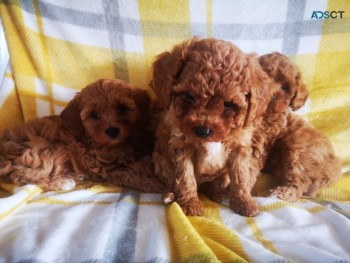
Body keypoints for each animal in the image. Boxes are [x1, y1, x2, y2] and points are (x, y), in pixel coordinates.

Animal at [0, 79, 163, 193]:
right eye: (94, 115)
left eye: (122, 108)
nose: (112, 131)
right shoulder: (102, 167)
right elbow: (129, 174)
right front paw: (154, 184)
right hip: (44, 149)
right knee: (26, 175)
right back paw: (64, 182)